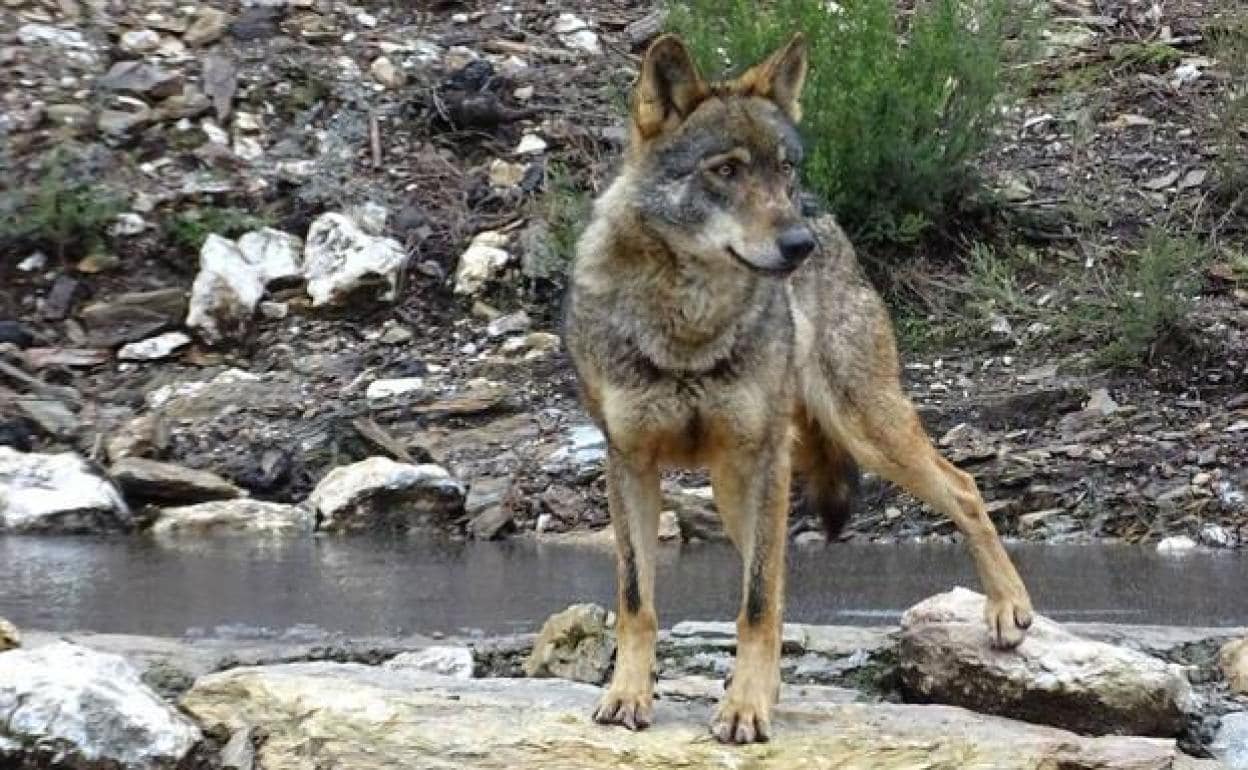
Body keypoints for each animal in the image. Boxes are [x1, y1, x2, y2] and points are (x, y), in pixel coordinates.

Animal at [564, 33, 1033, 743]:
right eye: (727, 170)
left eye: (784, 168)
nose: (797, 243)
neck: (690, 328)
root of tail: (829, 219)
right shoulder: (629, 465)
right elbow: (637, 599)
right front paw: (628, 696)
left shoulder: (765, 457)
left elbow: (755, 603)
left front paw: (744, 708)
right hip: (739, 490)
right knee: (781, 583)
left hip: (860, 435)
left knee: (963, 488)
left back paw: (1008, 606)